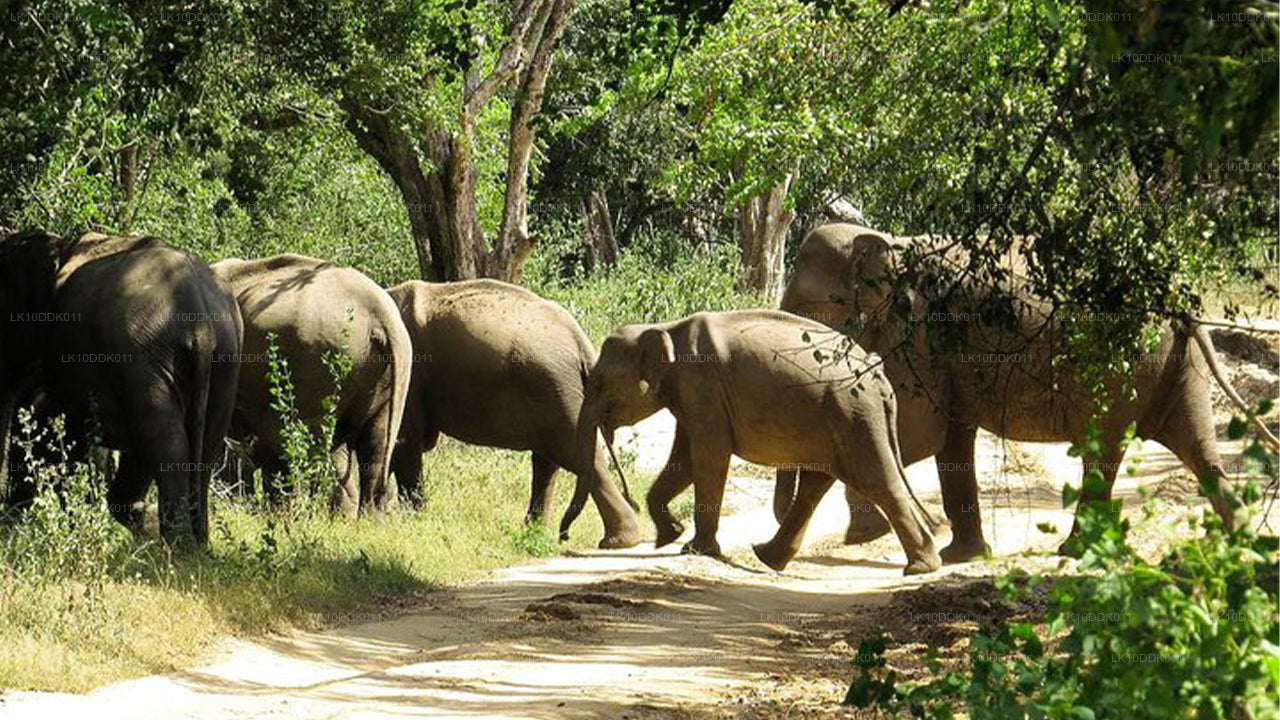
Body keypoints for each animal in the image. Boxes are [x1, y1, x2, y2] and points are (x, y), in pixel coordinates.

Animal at [0, 229, 241, 543]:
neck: (62, 244)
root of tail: (199, 320)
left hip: (142, 357)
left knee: (165, 443)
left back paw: (178, 546)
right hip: (225, 358)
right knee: (203, 447)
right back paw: (197, 544)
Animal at [378, 278, 640, 545]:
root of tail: (579, 340)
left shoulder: (407, 378)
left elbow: (403, 442)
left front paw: (410, 522)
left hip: (554, 389)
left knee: (576, 457)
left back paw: (618, 541)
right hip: (555, 393)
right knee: (549, 461)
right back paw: (534, 533)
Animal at [581, 307, 942, 571]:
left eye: (599, 383)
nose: (632, 500)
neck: (664, 328)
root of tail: (880, 377)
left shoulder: (702, 386)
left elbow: (709, 456)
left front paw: (694, 549)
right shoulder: (690, 395)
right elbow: (683, 460)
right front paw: (669, 537)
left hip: (855, 417)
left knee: (876, 481)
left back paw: (921, 567)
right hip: (838, 420)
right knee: (815, 486)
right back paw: (766, 557)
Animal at [773, 221, 1274, 558]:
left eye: (803, 307)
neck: (886, 240)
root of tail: (1175, 298)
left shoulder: (918, 333)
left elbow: (920, 433)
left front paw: (864, 534)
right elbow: (950, 440)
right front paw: (963, 556)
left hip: (1121, 361)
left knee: (1103, 446)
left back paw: (1074, 552)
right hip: (1177, 365)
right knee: (1196, 443)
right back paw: (1243, 542)